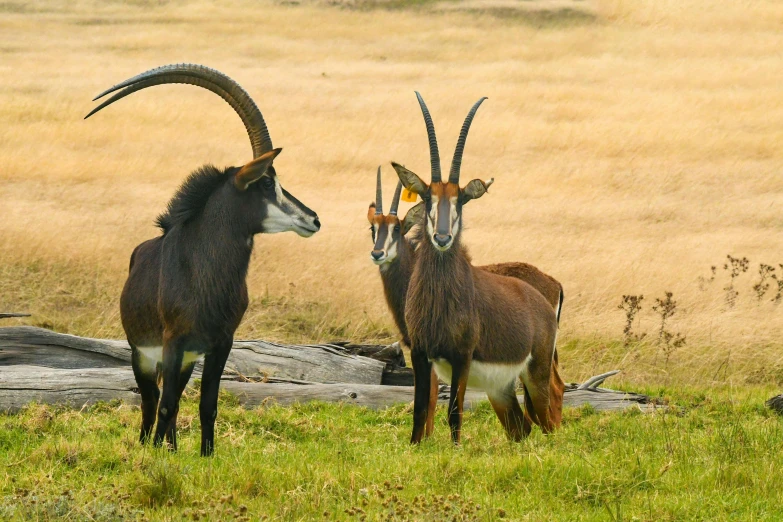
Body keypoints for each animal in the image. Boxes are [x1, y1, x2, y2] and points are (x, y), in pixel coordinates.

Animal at [86, 64, 318, 456]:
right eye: (266, 183)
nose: (313, 219)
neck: (204, 272)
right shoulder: (173, 342)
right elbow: (165, 405)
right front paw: (156, 456)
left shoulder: (219, 344)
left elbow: (207, 404)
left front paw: (205, 456)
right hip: (144, 356)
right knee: (151, 402)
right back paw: (149, 445)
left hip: (185, 361)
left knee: (173, 399)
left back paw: (172, 447)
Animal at [392, 92, 564, 442]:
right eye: (427, 197)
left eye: (461, 200)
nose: (442, 237)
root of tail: (544, 297)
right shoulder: (419, 354)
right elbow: (420, 411)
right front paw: (416, 446)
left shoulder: (463, 355)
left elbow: (454, 412)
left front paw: (456, 450)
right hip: (501, 389)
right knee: (521, 428)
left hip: (536, 375)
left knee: (549, 414)